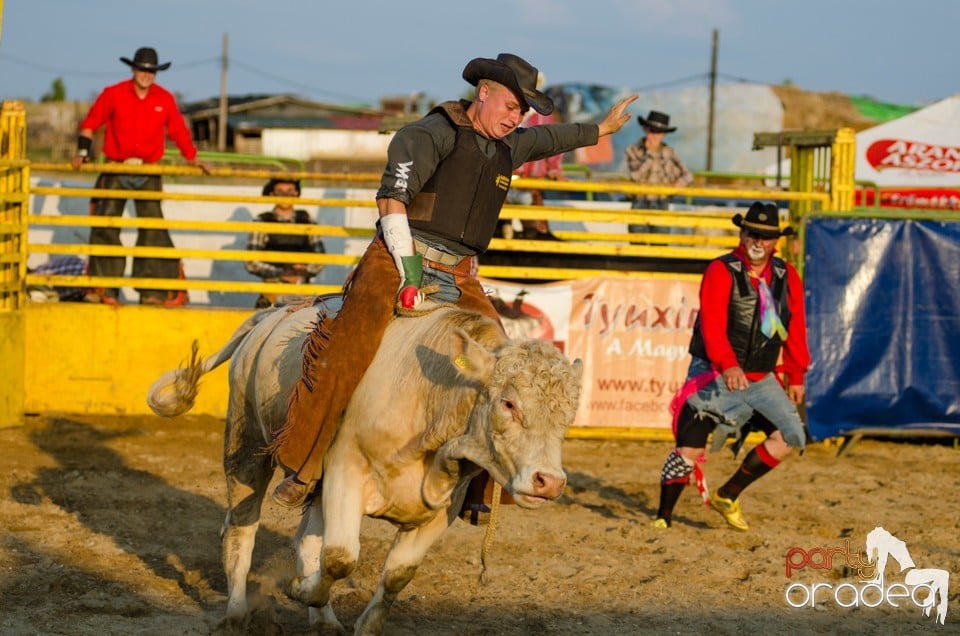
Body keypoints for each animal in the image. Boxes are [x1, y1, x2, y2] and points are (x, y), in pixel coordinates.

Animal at [146, 300, 580, 636]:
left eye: (569, 414)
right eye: (509, 403)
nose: (549, 482)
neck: (429, 400)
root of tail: (271, 314)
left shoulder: (442, 509)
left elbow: (396, 574)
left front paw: (355, 619)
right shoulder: (345, 473)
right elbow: (340, 557)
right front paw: (298, 589)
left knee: (307, 542)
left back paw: (323, 621)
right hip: (247, 441)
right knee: (241, 529)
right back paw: (237, 614)